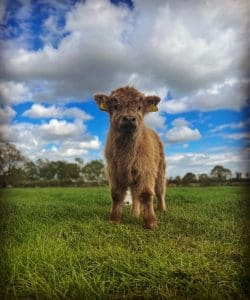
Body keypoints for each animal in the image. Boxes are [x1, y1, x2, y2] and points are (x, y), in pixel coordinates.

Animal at [94, 86, 166, 230]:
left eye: (139, 107)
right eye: (116, 106)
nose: (128, 118)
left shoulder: (146, 170)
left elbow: (146, 194)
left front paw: (151, 222)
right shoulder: (114, 170)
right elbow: (116, 194)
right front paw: (114, 219)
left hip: (160, 169)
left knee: (160, 190)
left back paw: (161, 209)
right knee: (134, 194)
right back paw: (135, 213)